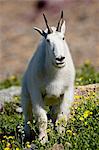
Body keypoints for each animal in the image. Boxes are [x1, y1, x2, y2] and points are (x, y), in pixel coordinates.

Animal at [21, 11, 75, 144]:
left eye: (63, 38)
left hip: (55, 102)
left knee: (54, 114)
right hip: (26, 96)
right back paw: (27, 136)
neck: (55, 75)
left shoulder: (67, 91)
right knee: (28, 117)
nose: (60, 59)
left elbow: (62, 116)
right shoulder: (36, 93)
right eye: (48, 40)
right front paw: (43, 139)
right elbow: (41, 118)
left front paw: (60, 136)